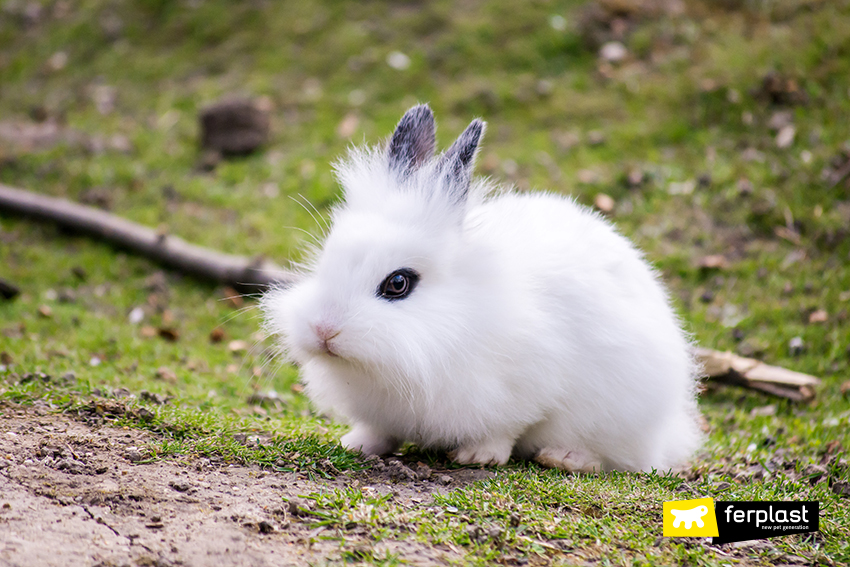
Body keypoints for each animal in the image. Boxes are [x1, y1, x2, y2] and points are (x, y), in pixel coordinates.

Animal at [264, 104, 704, 472]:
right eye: (327, 259)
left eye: (398, 283)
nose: (323, 330)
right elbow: (380, 431)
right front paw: (356, 444)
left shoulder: (526, 391)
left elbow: (507, 428)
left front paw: (479, 456)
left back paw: (564, 457)